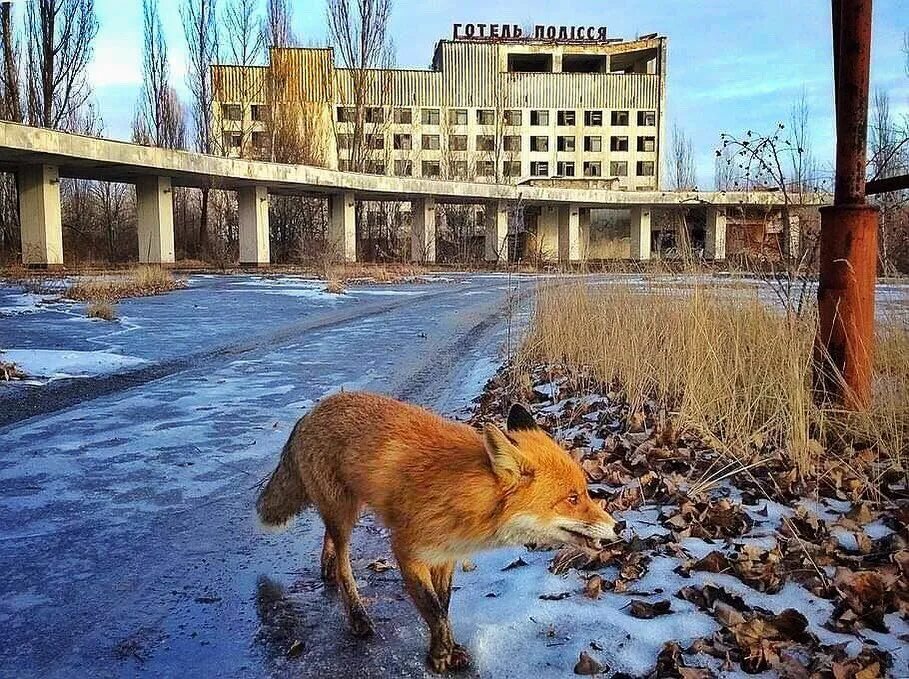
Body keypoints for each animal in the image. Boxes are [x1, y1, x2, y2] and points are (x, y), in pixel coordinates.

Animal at [258, 394, 620, 676]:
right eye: (572, 498)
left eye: (585, 492)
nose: (619, 527)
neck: (463, 495)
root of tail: (312, 410)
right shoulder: (407, 551)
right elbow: (432, 608)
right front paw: (439, 656)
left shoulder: (446, 554)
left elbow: (444, 605)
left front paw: (450, 648)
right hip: (344, 513)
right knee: (345, 563)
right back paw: (357, 614)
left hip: (347, 509)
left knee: (329, 538)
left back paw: (327, 566)